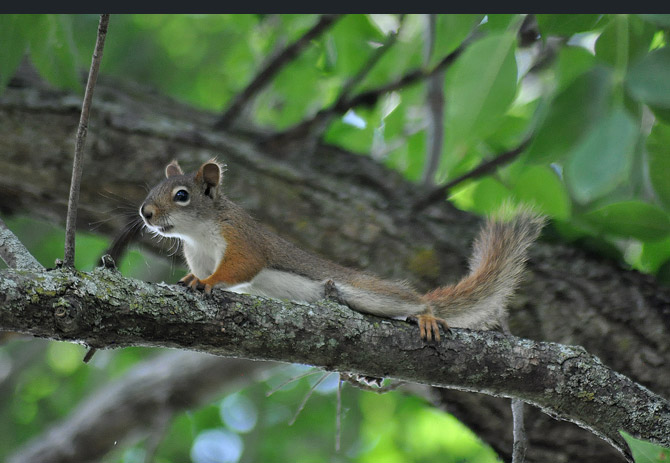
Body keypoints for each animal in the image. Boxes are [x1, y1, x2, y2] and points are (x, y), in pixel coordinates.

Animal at [139, 161, 544, 342]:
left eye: (181, 195)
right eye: (153, 189)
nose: (145, 213)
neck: (198, 235)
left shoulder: (242, 239)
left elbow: (240, 268)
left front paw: (208, 283)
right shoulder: (200, 255)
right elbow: (210, 274)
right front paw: (192, 278)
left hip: (367, 292)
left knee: (414, 302)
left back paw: (427, 316)